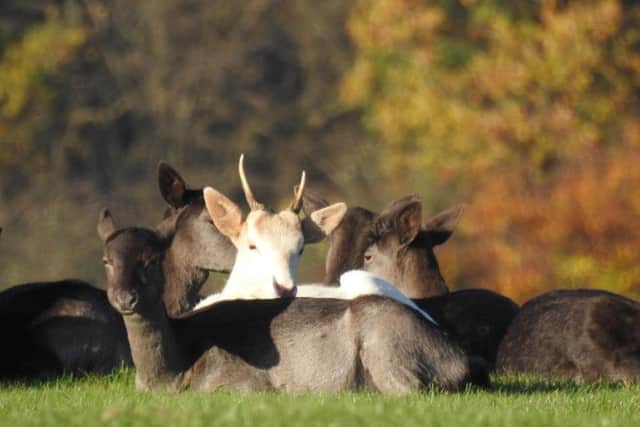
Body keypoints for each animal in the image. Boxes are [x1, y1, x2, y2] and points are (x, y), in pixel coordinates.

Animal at [98, 167, 489, 393]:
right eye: (106, 260)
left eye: (152, 261)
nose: (124, 298)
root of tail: (461, 359)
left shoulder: (242, 384)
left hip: (387, 347)